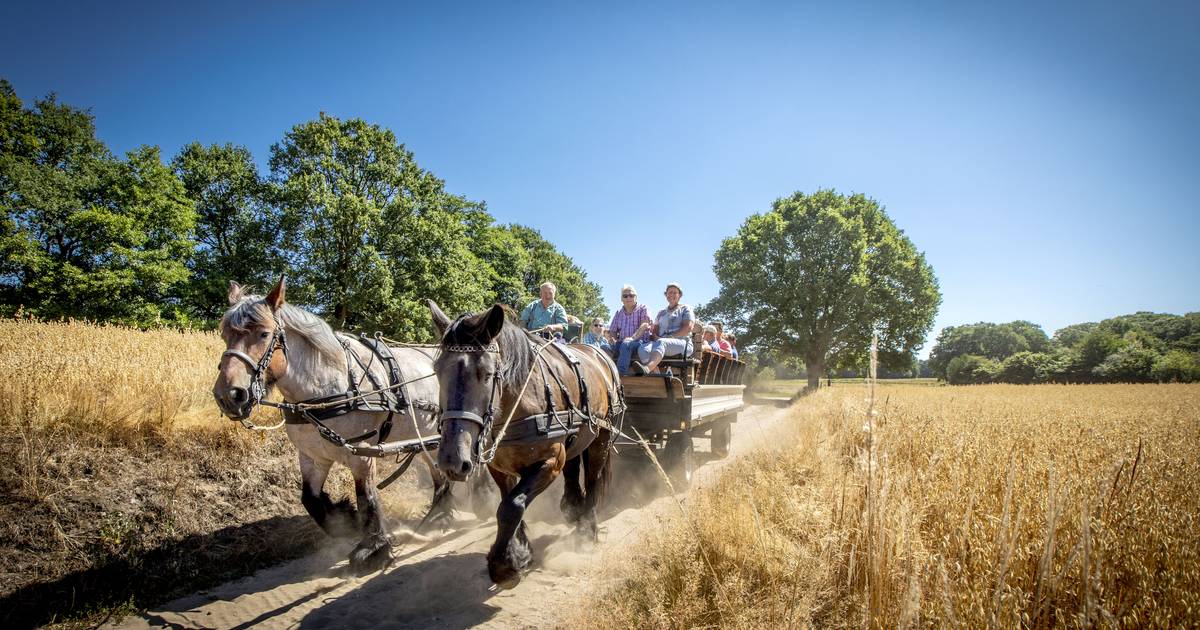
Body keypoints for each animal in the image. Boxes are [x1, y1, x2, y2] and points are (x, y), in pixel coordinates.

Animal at [212, 276, 455, 574]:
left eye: (264, 334)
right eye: (225, 335)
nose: (229, 395)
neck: (324, 388)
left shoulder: (362, 454)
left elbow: (367, 497)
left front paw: (373, 548)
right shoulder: (312, 456)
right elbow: (310, 499)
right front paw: (346, 519)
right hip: (421, 440)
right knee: (440, 477)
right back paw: (437, 518)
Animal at [428, 301, 624, 588]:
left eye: (487, 374)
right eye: (437, 371)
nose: (452, 460)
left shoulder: (550, 462)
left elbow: (512, 506)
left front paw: (504, 565)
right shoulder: (498, 466)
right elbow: (507, 503)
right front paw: (520, 553)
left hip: (601, 438)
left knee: (593, 480)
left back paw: (587, 531)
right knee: (573, 466)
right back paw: (572, 507)